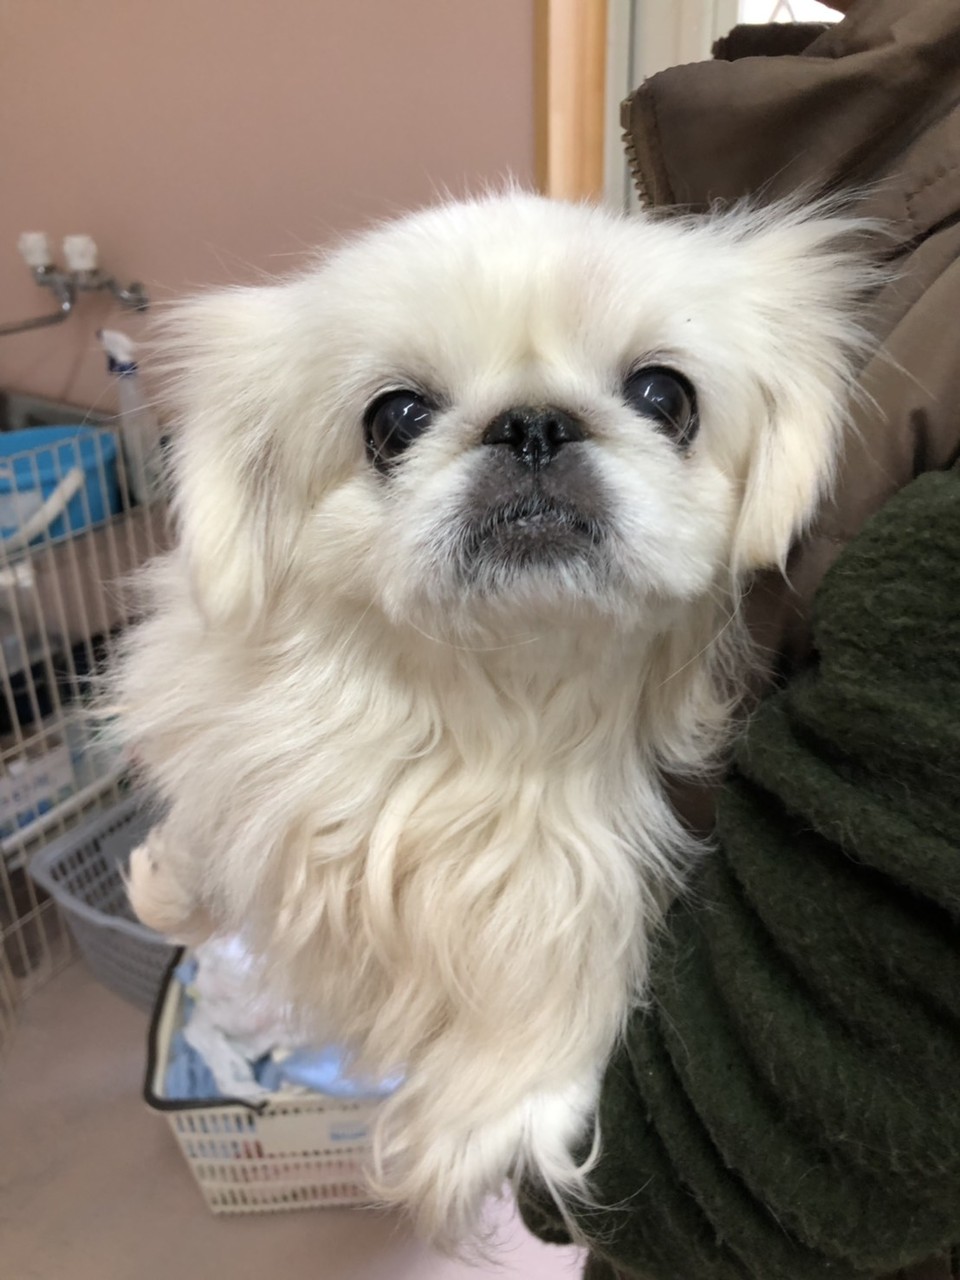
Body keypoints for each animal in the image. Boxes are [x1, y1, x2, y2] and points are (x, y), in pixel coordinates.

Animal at [116, 192, 871, 1248]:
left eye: (663, 396)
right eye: (394, 419)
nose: (534, 424)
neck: (490, 702)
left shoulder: (568, 865)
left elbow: (554, 948)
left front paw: (495, 1112)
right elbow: (212, 822)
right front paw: (170, 886)